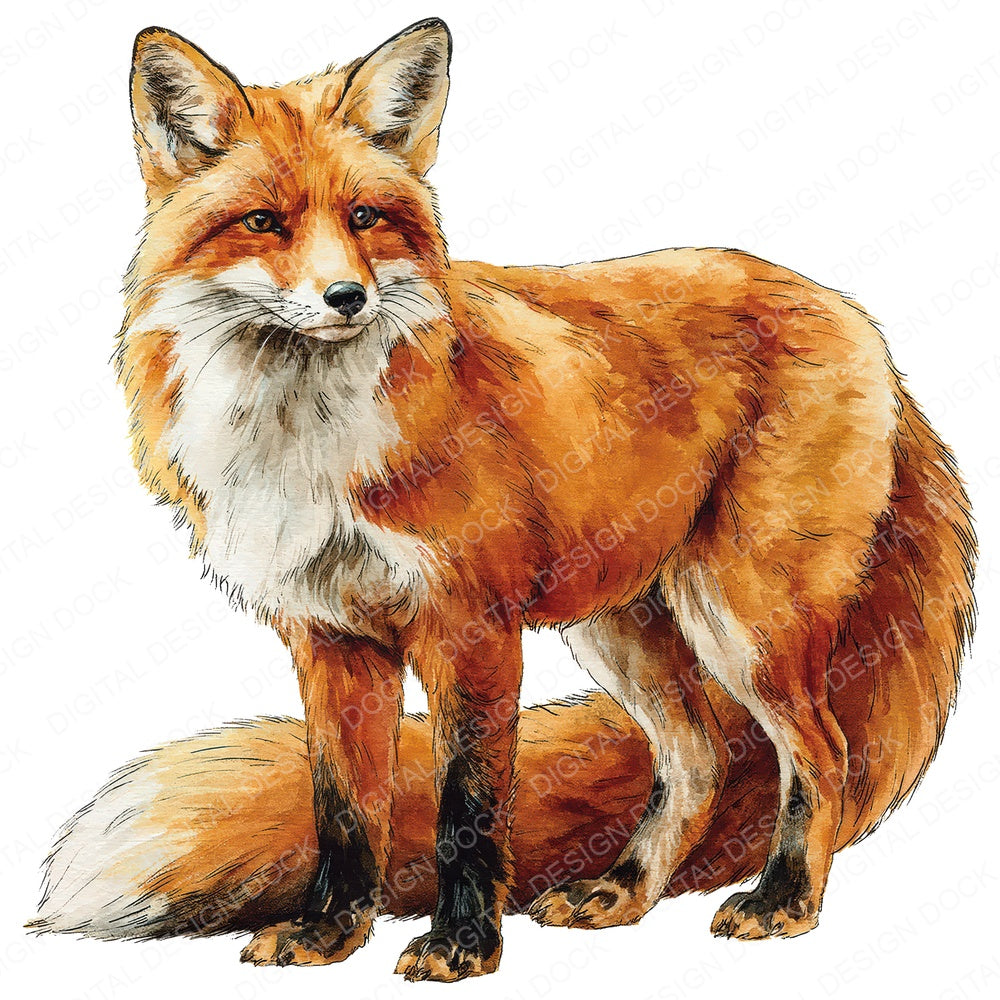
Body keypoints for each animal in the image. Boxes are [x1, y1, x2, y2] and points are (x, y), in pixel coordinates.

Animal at [64, 16, 974, 982]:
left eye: (364, 218)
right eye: (263, 223)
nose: (347, 297)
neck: (307, 440)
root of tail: (850, 313)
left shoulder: (471, 627)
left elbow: (466, 808)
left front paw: (463, 945)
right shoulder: (330, 637)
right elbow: (345, 809)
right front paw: (330, 932)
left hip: (745, 620)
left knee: (821, 754)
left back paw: (786, 901)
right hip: (624, 628)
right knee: (701, 758)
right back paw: (621, 890)